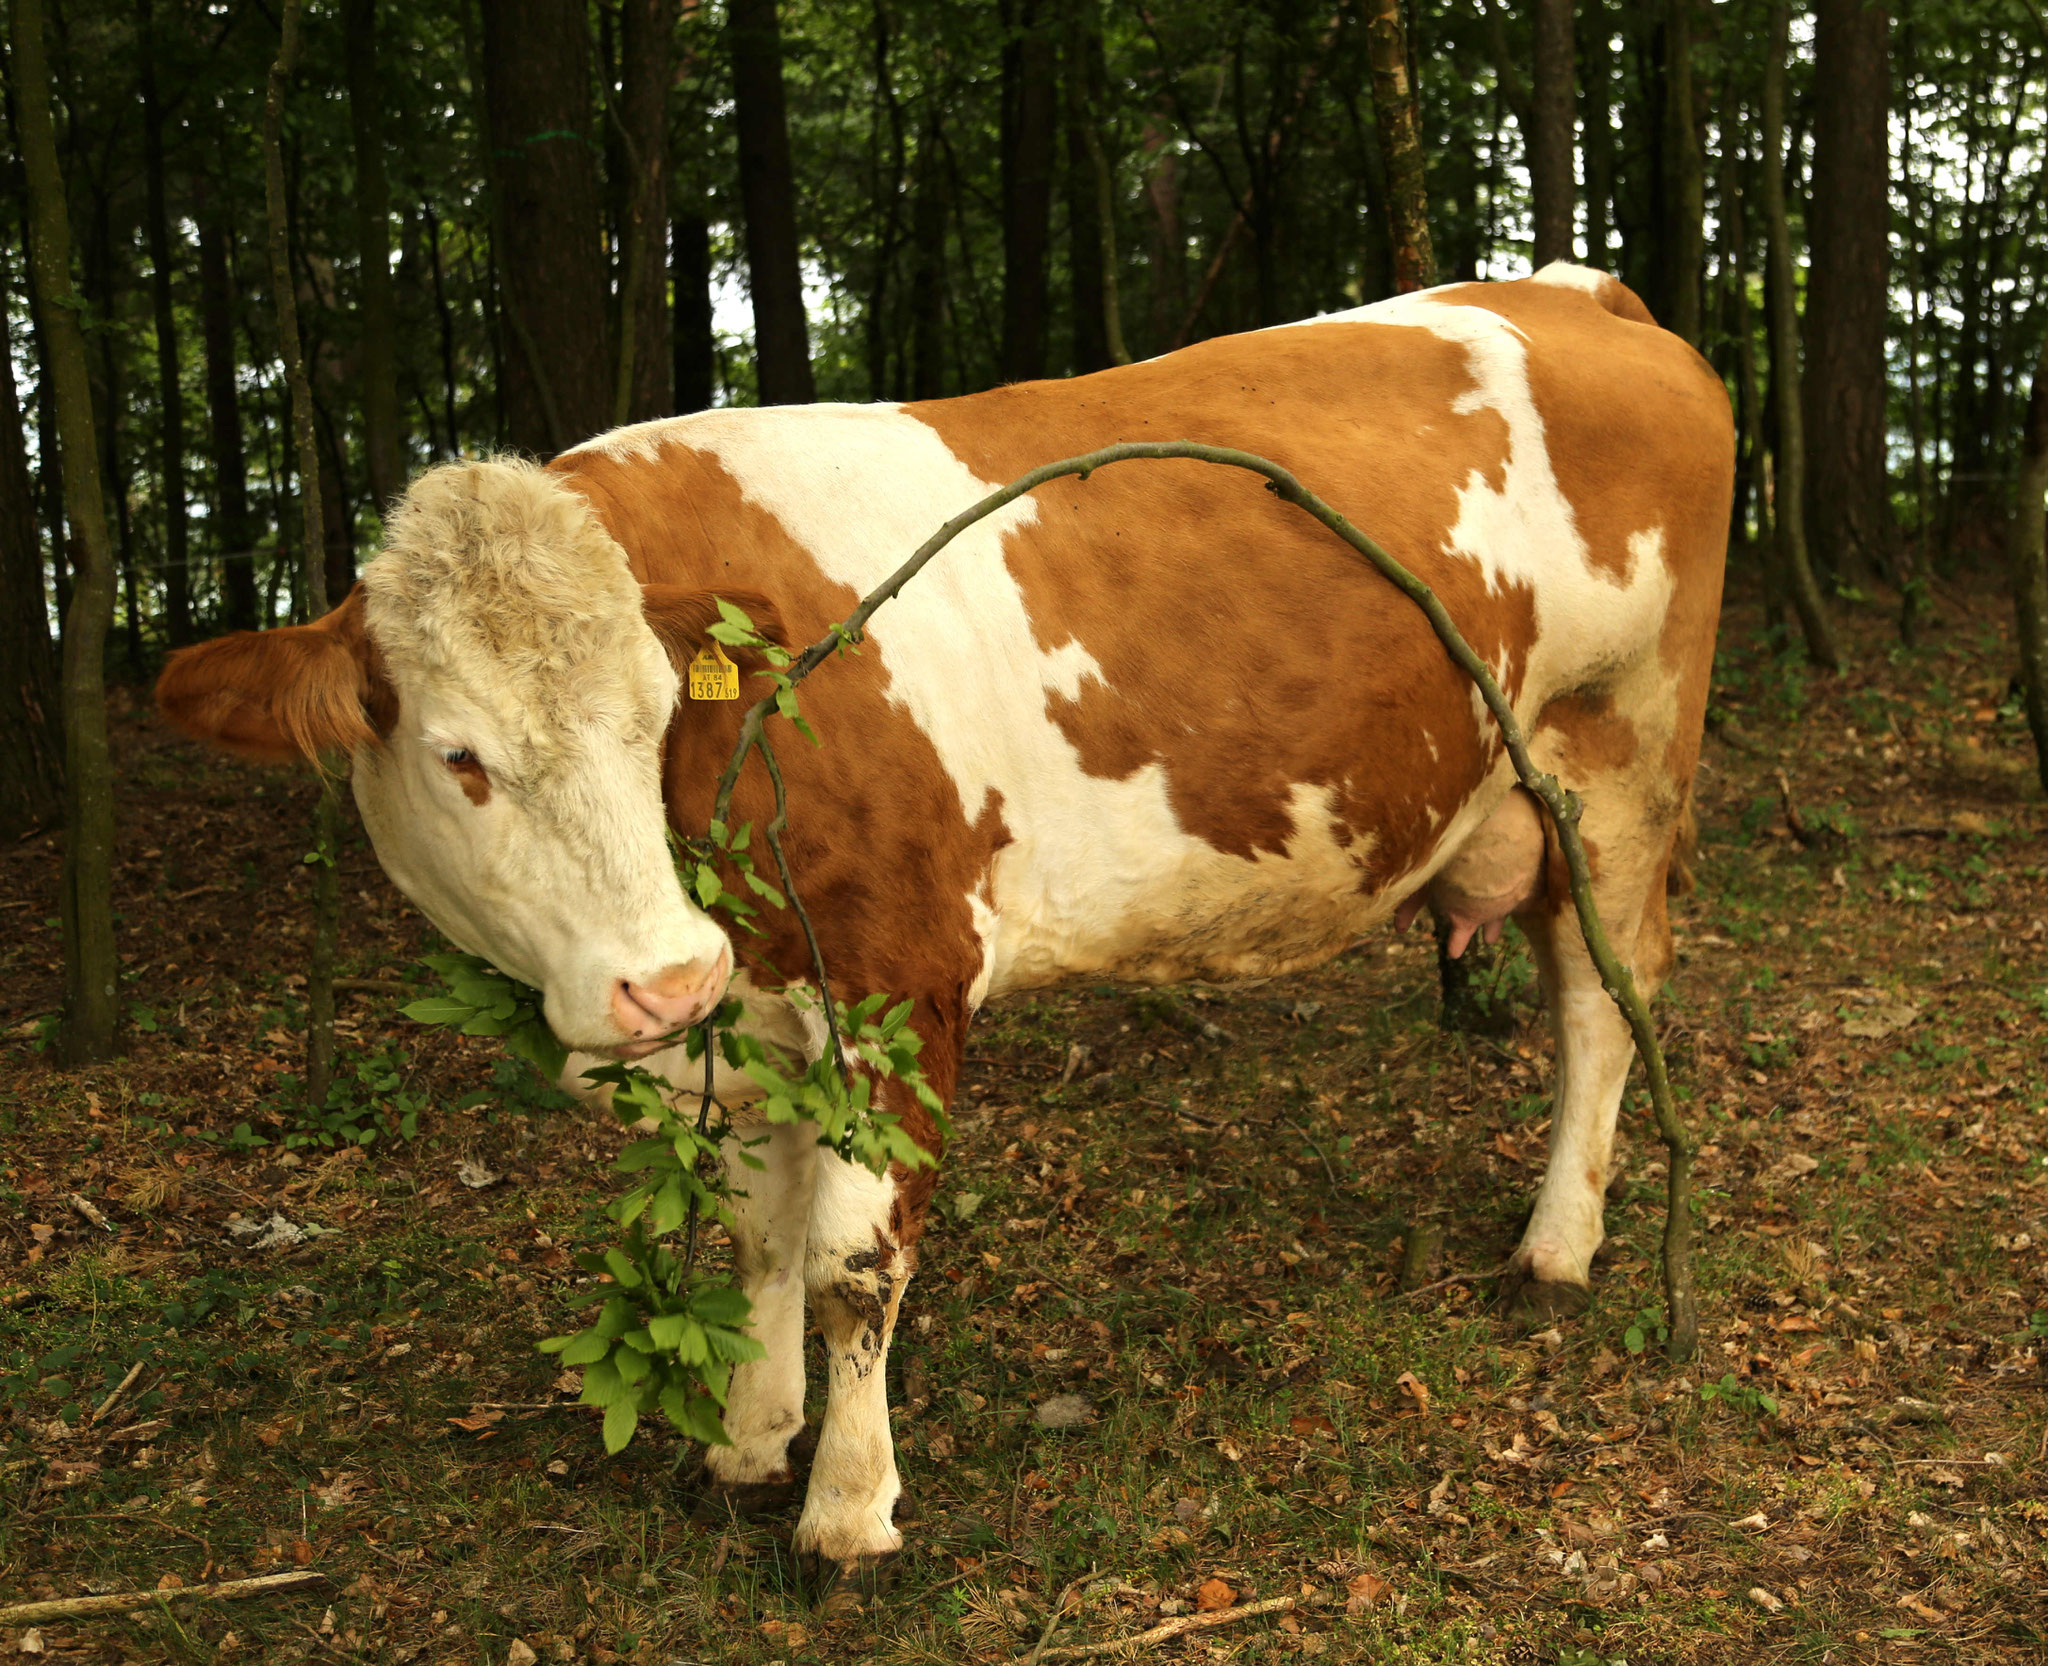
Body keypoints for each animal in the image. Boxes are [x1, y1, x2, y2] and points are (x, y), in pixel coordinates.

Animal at [155, 266, 1728, 1581]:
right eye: (459, 756)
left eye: (653, 715)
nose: (662, 980)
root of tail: (1571, 287)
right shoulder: (757, 1017)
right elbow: (758, 1242)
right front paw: (747, 1441)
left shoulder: (898, 980)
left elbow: (852, 1265)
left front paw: (846, 1514)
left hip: (1622, 764)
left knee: (1603, 1005)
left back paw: (1559, 1245)